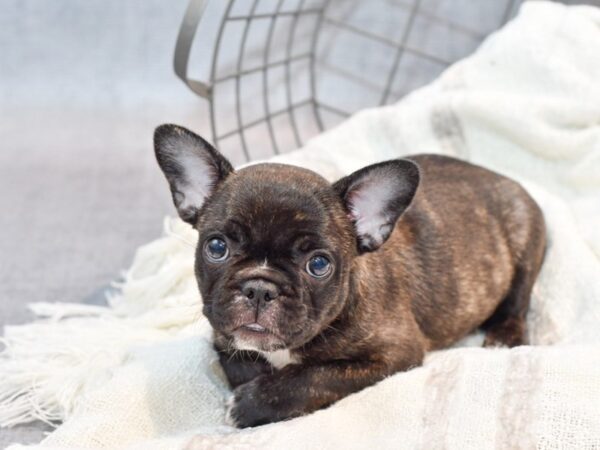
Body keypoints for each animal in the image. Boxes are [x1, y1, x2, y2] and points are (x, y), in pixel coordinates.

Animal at [154, 124, 544, 428]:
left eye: (319, 265)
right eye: (216, 247)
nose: (259, 289)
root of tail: (495, 175)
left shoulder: (394, 353)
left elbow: (313, 376)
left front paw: (252, 403)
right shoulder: (222, 333)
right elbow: (236, 360)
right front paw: (252, 382)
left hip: (525, 238)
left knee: (519, 299)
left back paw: (503, 337)